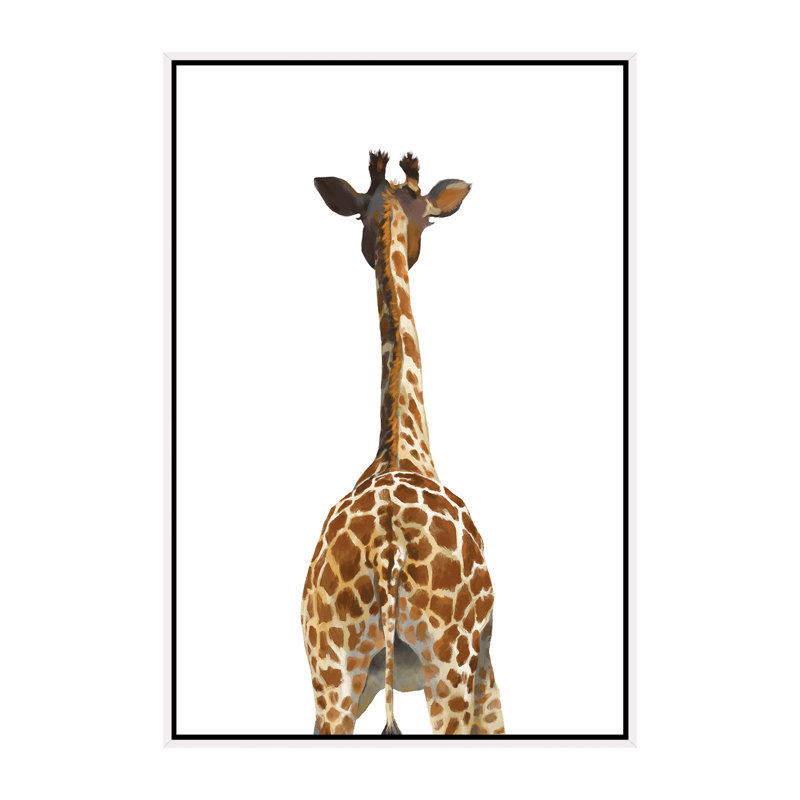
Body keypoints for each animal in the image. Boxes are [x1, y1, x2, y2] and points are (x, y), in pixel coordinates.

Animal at [301, 151, 504, 736]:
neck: (404, 446)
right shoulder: (487, 668)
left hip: (332, 676)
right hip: (449, 665)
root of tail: (387, 548)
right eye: (430, 219)